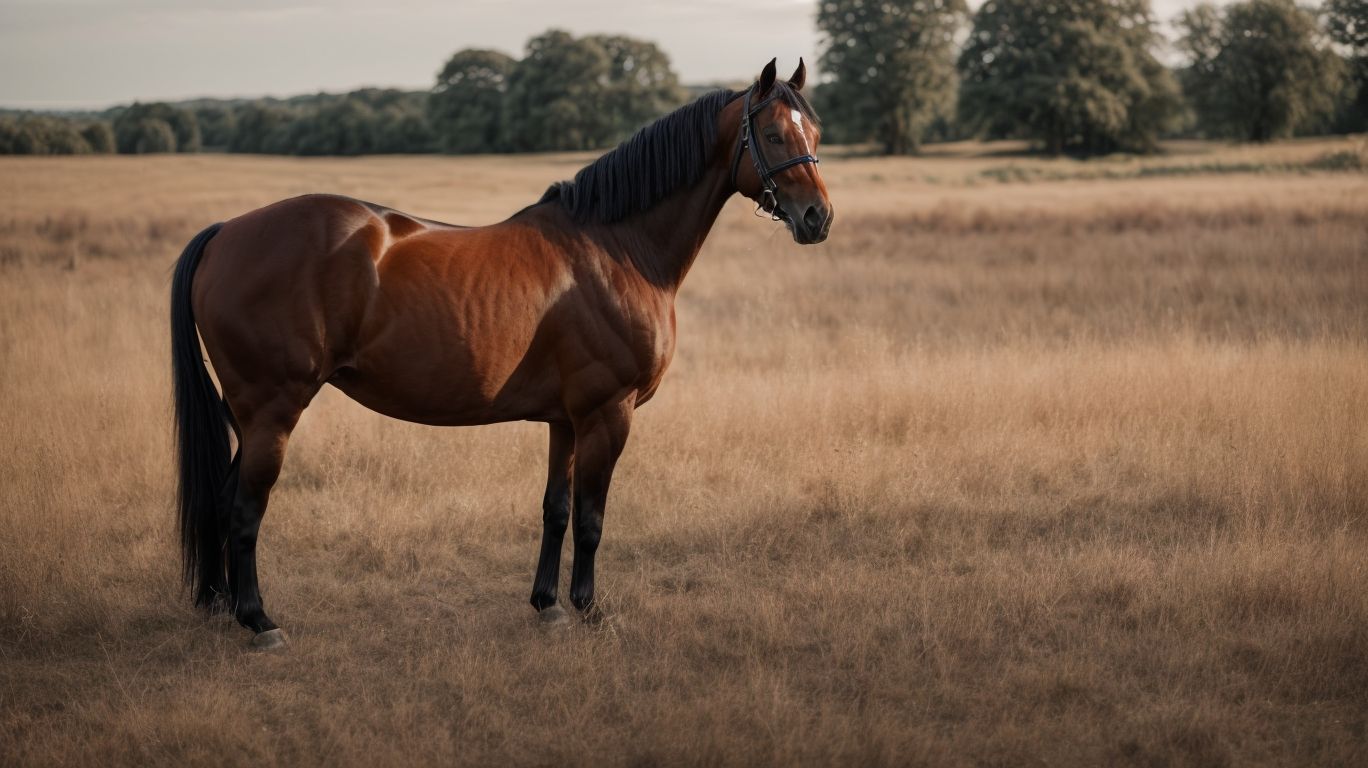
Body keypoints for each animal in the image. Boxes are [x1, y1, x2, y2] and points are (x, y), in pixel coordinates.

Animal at [170, 58, 833, 649]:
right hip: (272, 412)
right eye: (773, 133)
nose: (818, 218)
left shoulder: (567, 419)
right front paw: (589, 609)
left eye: (816, 132)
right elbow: (591, 519)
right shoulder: (608, 413)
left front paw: (548, 606)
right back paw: (259, 622)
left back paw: (226, 608)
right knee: (244, 509)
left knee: (225, 503)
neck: (616, 248)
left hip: (250, 417)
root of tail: (226, 232)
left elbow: (556, 510)